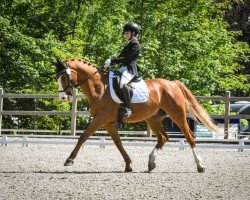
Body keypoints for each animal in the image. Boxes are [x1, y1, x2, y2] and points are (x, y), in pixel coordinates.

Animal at [53, 58, 219, 173]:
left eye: (63, 77)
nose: (62, 98)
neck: (98, 87)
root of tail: (173, 83)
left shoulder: (100, 119)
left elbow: (83, 136)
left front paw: (69, 160)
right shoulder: (107, 123)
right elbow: (118, 143)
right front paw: (128, 165)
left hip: (177, 115)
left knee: (189, 137)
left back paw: (200, 166)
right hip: (153, 119)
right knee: (163, 138)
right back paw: (151, 163)